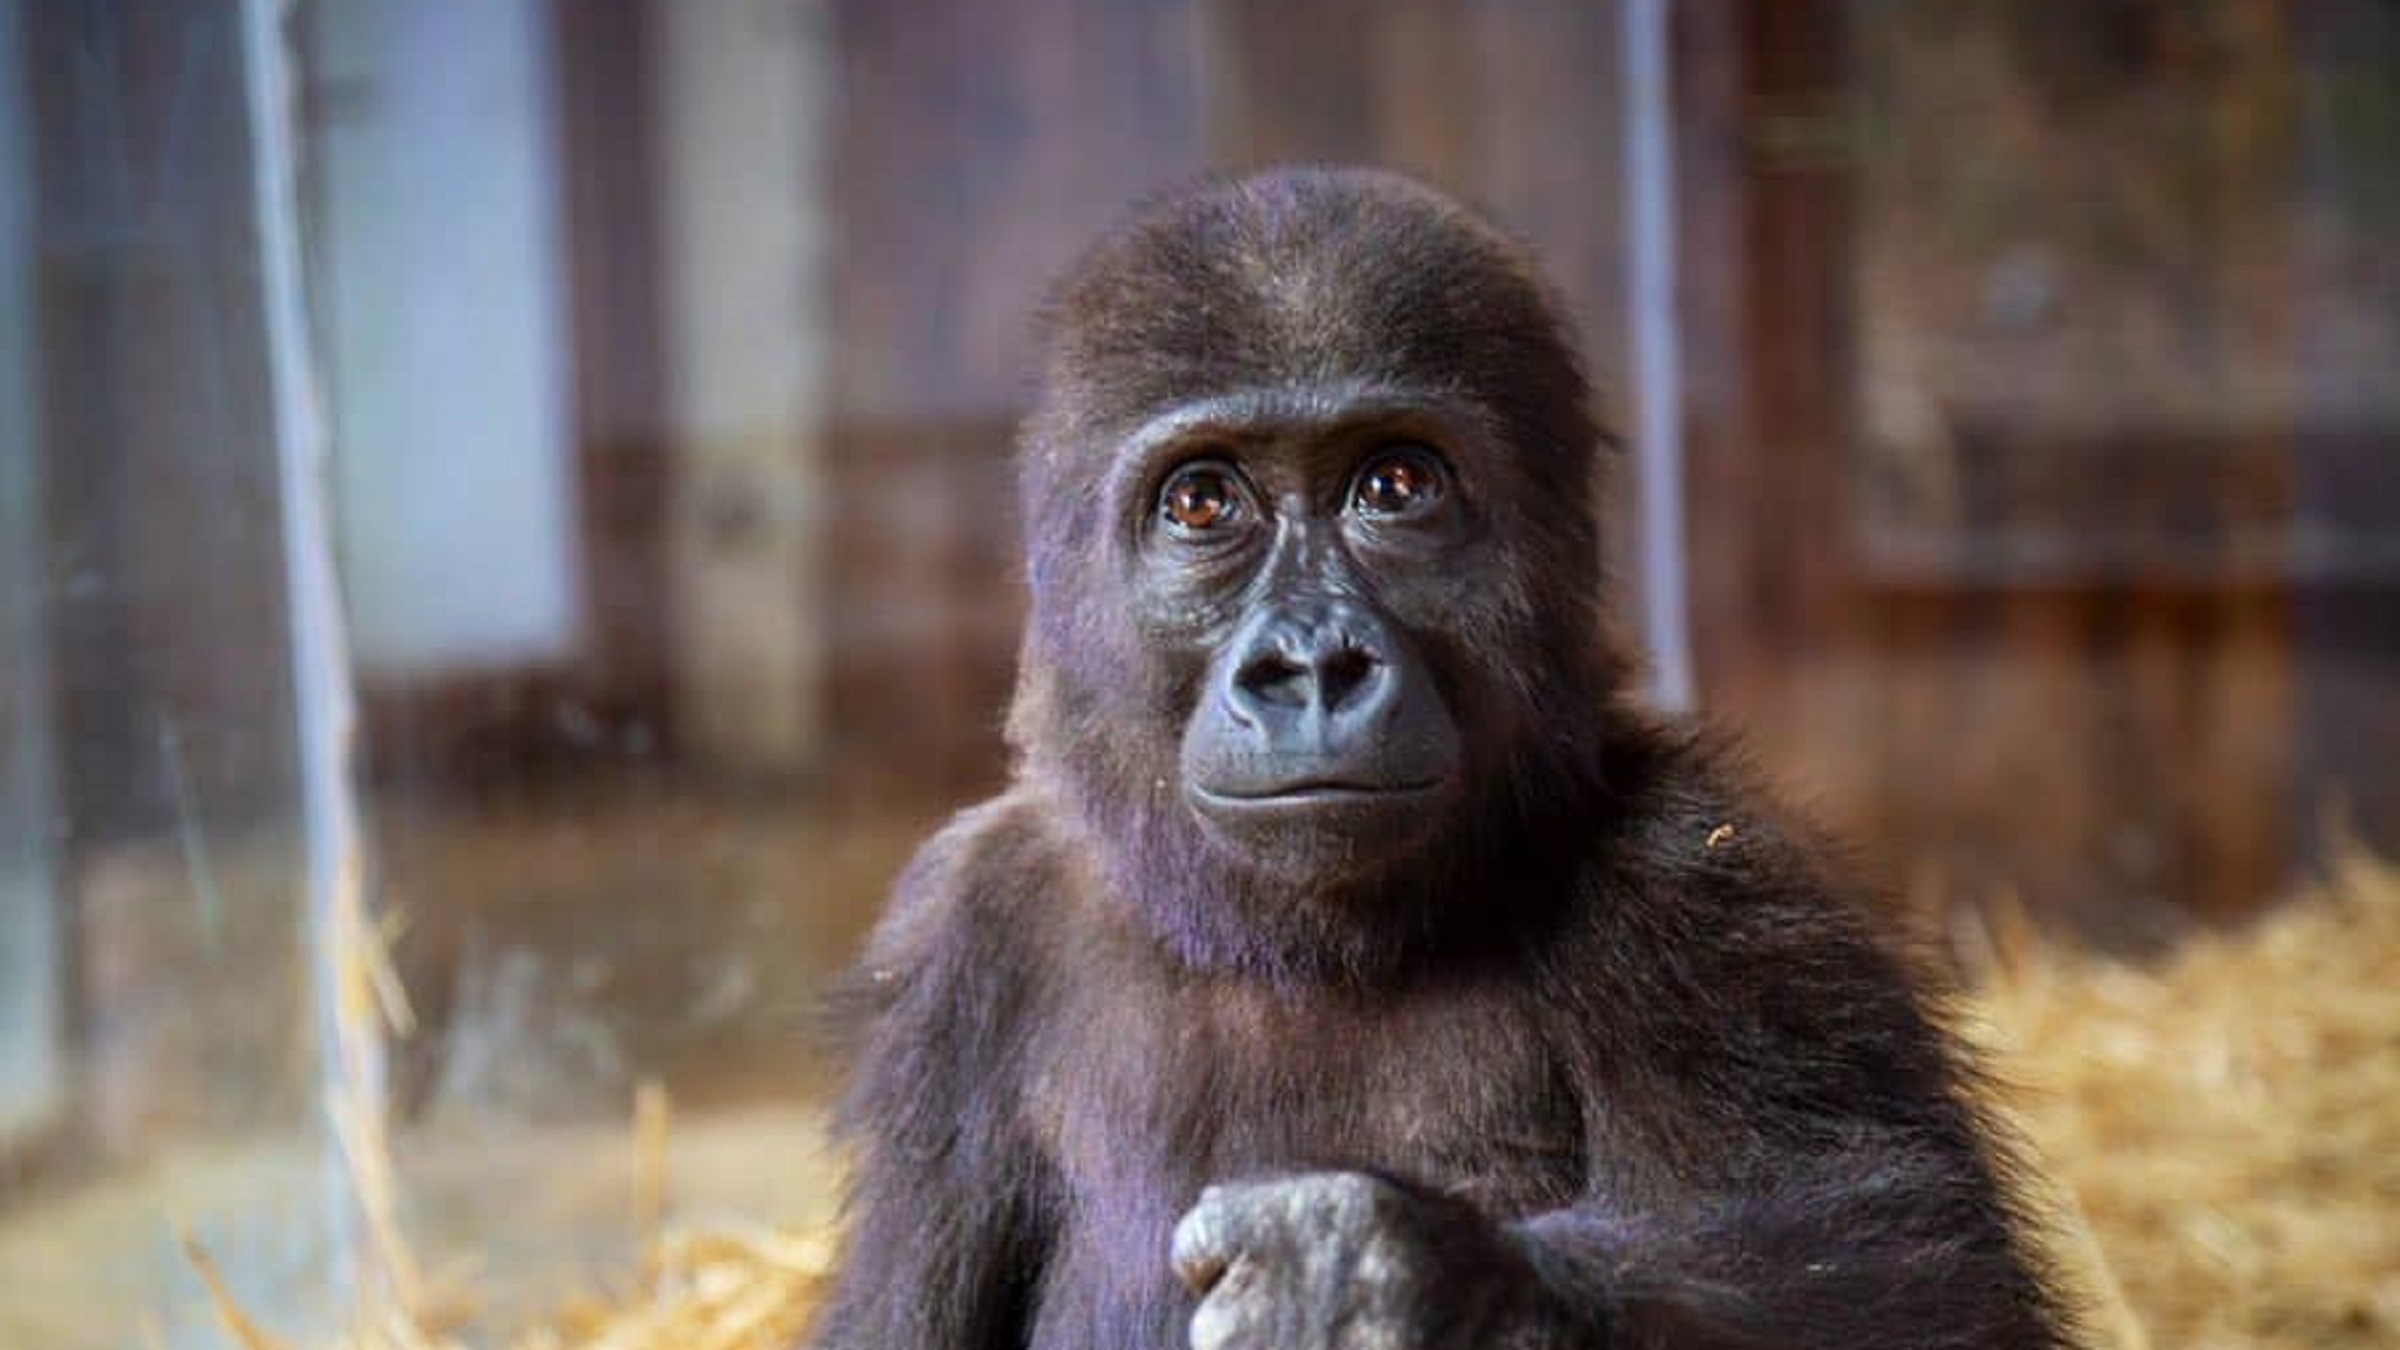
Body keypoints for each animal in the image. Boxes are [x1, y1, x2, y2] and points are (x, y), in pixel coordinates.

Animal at [811, 167, 2075, 1350]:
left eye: (1396, 486)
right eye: (1204, 502)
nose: (1312, 664)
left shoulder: (1707, 883)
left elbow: (1929, 1276)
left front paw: (1394, 1277)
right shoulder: (959, 938)